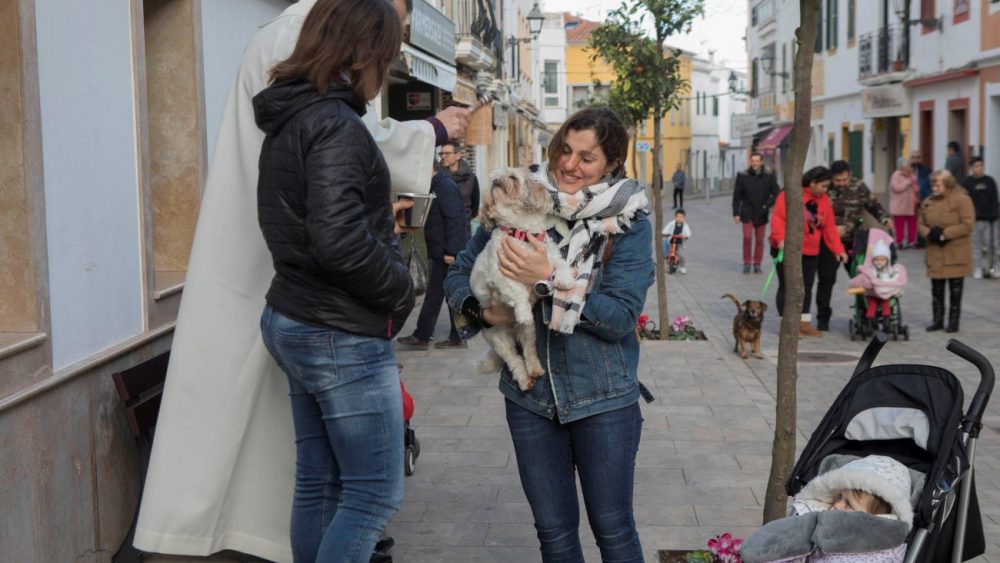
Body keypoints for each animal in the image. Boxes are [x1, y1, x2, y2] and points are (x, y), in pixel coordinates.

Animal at [472, 167, 576, 392]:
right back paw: (525, 380)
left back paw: (536, 370)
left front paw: (564, 281)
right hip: (500, 340)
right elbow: (517, 292)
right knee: (515, 360)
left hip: (529, 334)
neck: (522, 232)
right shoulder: (501, 274)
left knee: (529, 352)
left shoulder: (551, 256)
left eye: (511, 177)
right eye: (494, 179)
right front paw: (524, 312)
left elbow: (561, 267)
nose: (496, 181)